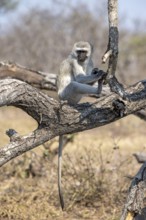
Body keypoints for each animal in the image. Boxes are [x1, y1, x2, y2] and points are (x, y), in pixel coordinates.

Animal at [56, 41, 105, 210]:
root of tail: (59, 99)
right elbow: (79, 78)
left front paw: (96, 73)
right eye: (79, 51)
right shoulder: (73, 61)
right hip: (66, 95)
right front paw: (98, 75)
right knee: (75, 84)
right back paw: (98, 90)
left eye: (84, 51)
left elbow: (87, 74)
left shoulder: (89, 61)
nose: (82, 56)